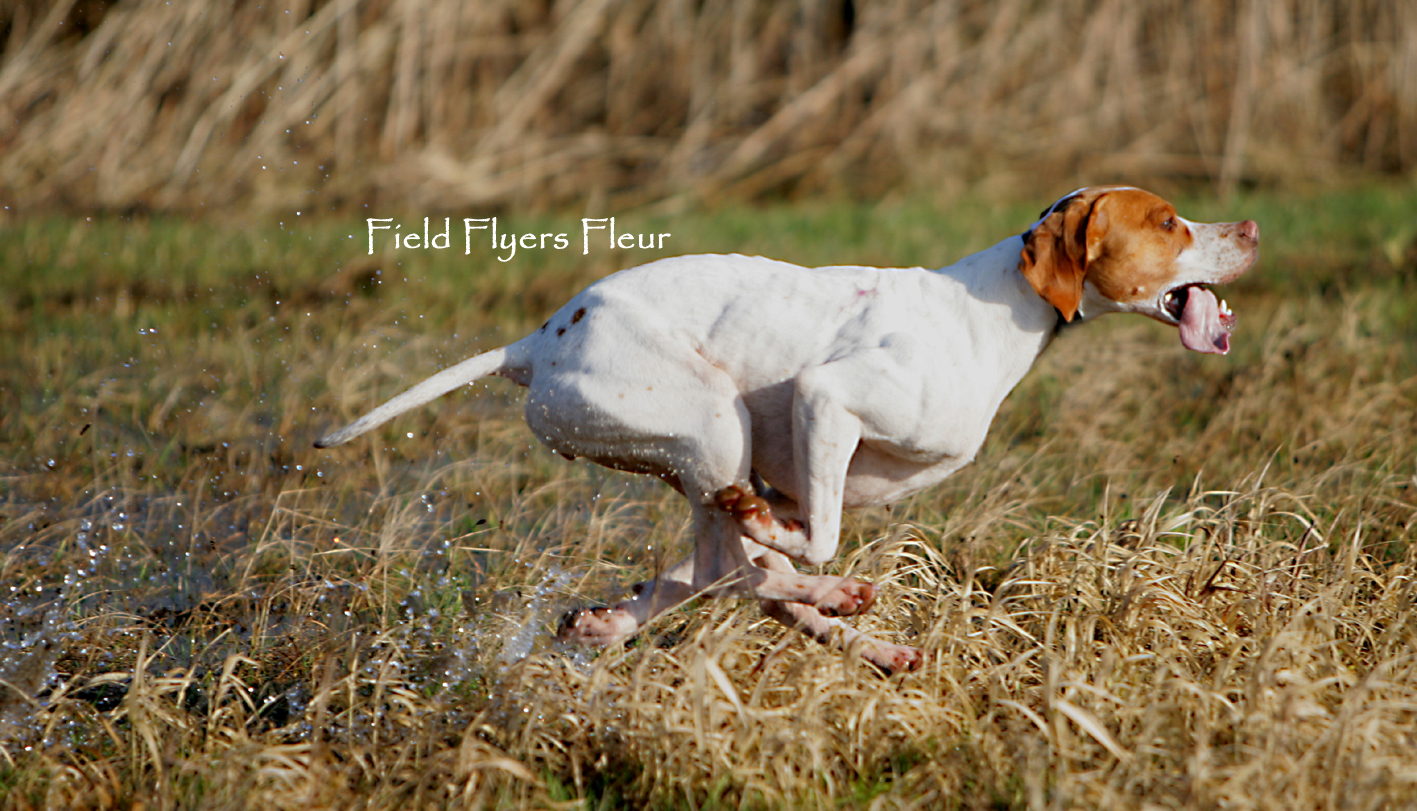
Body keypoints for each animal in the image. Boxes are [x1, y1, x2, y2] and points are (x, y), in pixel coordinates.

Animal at [315, 187, 1258, 674]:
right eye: (1168, 221)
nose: (1248, 228)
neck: (996, 310)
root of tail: (537, 340)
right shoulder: (824, 399)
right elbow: (809, 540)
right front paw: (812, 569)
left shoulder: (791, 471)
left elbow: (748, 561)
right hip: (710, 422)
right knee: (737, 570)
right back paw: (835, 602)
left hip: (701, 453)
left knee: (717, 570)